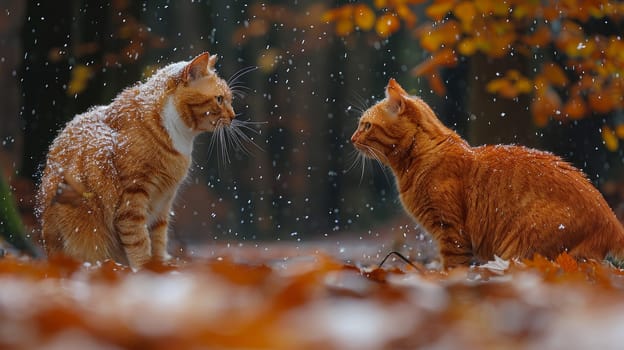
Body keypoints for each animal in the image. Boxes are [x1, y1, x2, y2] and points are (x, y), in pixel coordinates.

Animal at [37, 52, 236, 268]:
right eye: (219, 99)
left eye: (230, 99)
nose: (234, 116)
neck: (179, 137)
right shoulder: (132, 197)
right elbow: (139, 240)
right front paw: (145, 268)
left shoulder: (164, 202)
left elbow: (158, 239)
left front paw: (160, 266)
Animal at [352, 78, 624, 266]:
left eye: (366, 126)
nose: (351, 138)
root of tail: (611, 219)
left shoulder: (451, 231)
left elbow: (452, 267)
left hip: (524, 249)